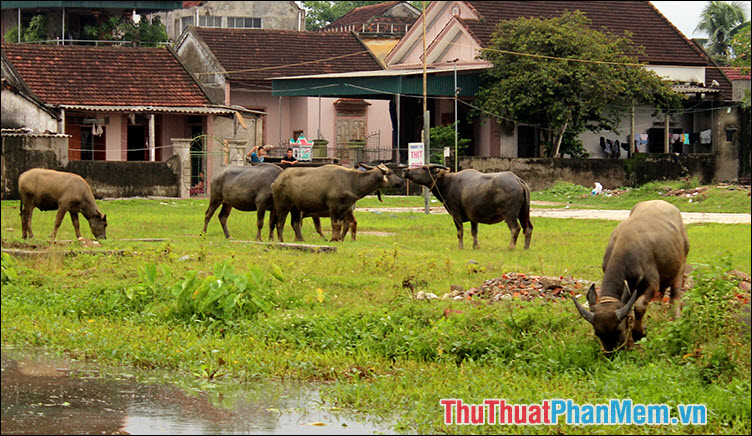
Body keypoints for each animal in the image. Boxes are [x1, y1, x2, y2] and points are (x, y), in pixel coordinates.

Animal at [274, 164, 402, 242]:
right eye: (390, 173)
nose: (401, 181)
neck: (352, 181)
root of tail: (278, 180)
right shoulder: (334, 207)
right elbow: (335, 224)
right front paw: (334, 239)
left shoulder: (346, 208)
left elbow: (345, 224)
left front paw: (345, 239)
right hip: (282, 206)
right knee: (280, 223)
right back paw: (281, 240)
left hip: (295, 208)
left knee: (295, 223)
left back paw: (302, 240)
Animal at [402, 165, 532, 250]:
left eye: (424, 168)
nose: (405, 170)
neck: (449, 183)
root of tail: (518, 180)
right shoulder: (473, 217)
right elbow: (474, 232)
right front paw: (476, 246)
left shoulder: (456, 213)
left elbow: (460, 231)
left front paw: (460, 246)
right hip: (524, 212)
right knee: (528, 228)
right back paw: (525, 247)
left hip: (510, 214)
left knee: (515, 228)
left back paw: (511, 247)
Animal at [572, 199, 692, 352]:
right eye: (597, 332)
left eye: (618, 330)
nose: (612, 353)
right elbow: (628, 309)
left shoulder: (652, 284)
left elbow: (639, 307)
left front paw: (639, 334)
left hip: (680, 267)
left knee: (674, 297)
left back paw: (675, 320)